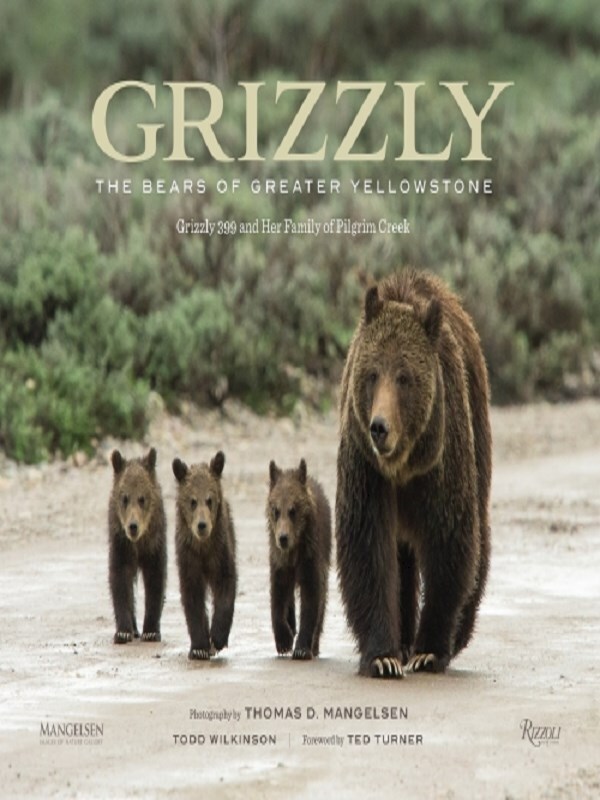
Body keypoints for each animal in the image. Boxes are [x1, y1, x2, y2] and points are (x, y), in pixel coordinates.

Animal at [108, 447, 167, 644]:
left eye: (142, 498)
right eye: (124, 498)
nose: (133, 526)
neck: (137, 543)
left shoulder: (154, 544)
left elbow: (155, 580)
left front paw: (151, 631)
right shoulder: (121, 543)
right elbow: (120, 580)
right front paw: (123, 632)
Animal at [172, 451, 237, 660]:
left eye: (209, 499)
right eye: (192, 501)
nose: (202, 525)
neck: (203, 547)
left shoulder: (220, 552)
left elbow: (226, 587)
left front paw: (217, 638)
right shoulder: (189, 558)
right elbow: (192, 598)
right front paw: (199, 647)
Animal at [267, 458, 332, 660]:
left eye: (293, 510)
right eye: (276, 510)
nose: (283, 537)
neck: (294, 550)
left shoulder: (310, 556)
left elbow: (311, 598)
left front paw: (302, 647)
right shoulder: (279, 561)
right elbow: (278, 595)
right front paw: (284, 640)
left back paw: (315, 644)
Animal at [336, 269, 492, 678]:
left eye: (405, 377)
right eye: (373, 373)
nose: (379, 427)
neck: (403, 464)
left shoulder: (441, 462)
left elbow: (449, 542)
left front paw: (430, 650)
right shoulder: (366, 469)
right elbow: (368, 548)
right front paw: (383, 656)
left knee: (478, 534)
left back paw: (458, 633)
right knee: (401, 556)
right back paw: (403, 639)